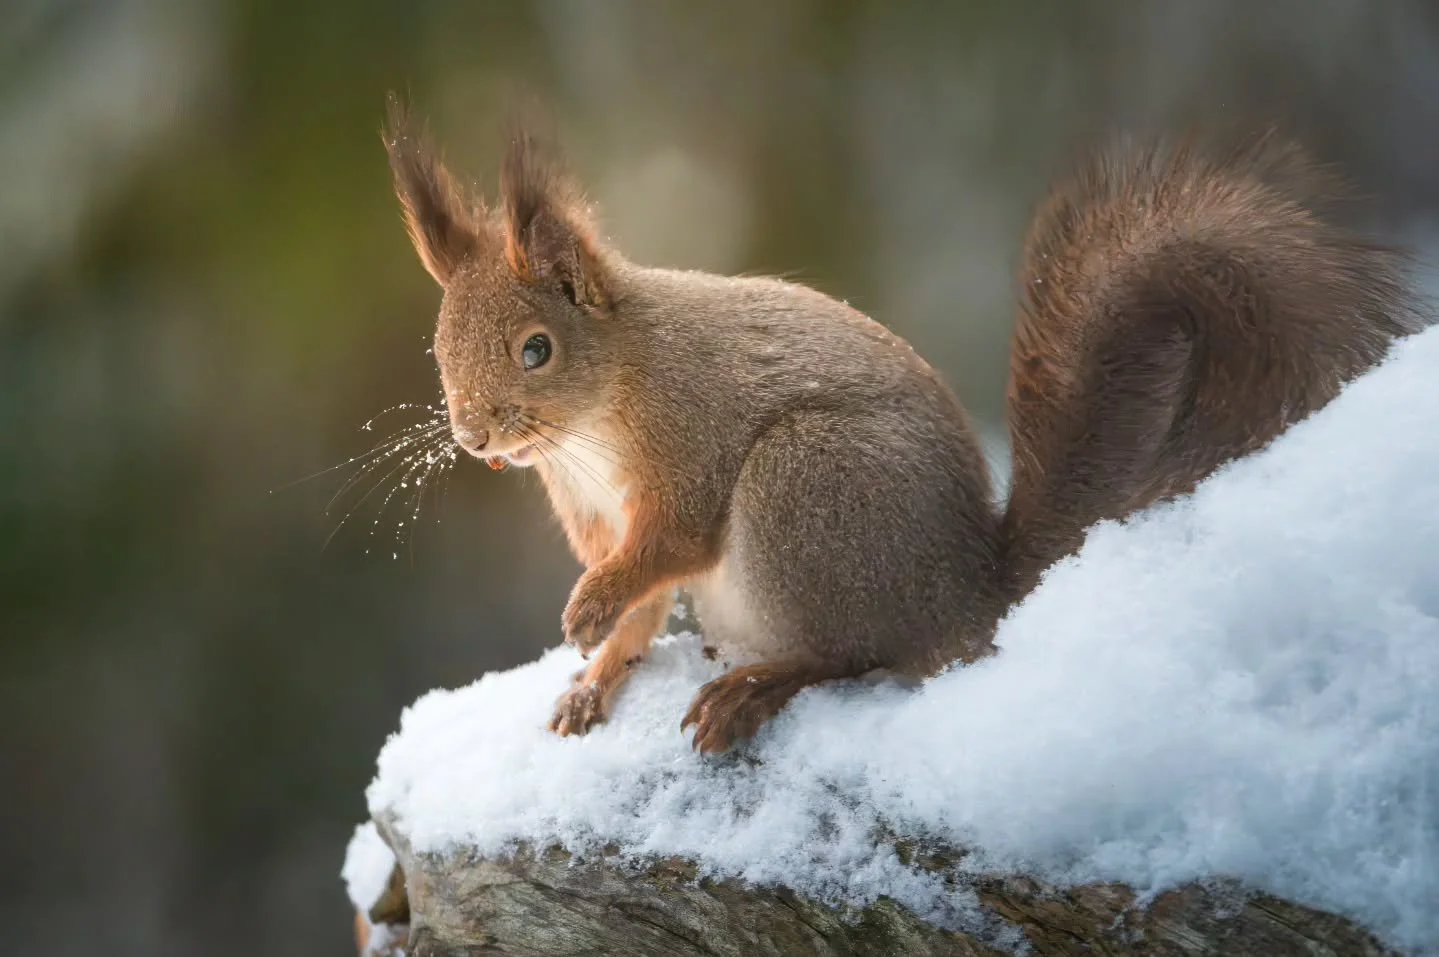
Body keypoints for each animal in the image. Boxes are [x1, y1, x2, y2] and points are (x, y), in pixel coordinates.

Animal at [380, 99, 1423, 753]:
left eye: (537, 349)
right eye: (436, 344)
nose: (474, 437)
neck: (595, 422)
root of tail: (968, 595)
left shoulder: (690, 442)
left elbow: (670, 542)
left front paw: (587, 611)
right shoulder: (591, 508)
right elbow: (643, 609)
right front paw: (596, 675)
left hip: (805, 481)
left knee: (859, 654)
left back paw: (761, 684)